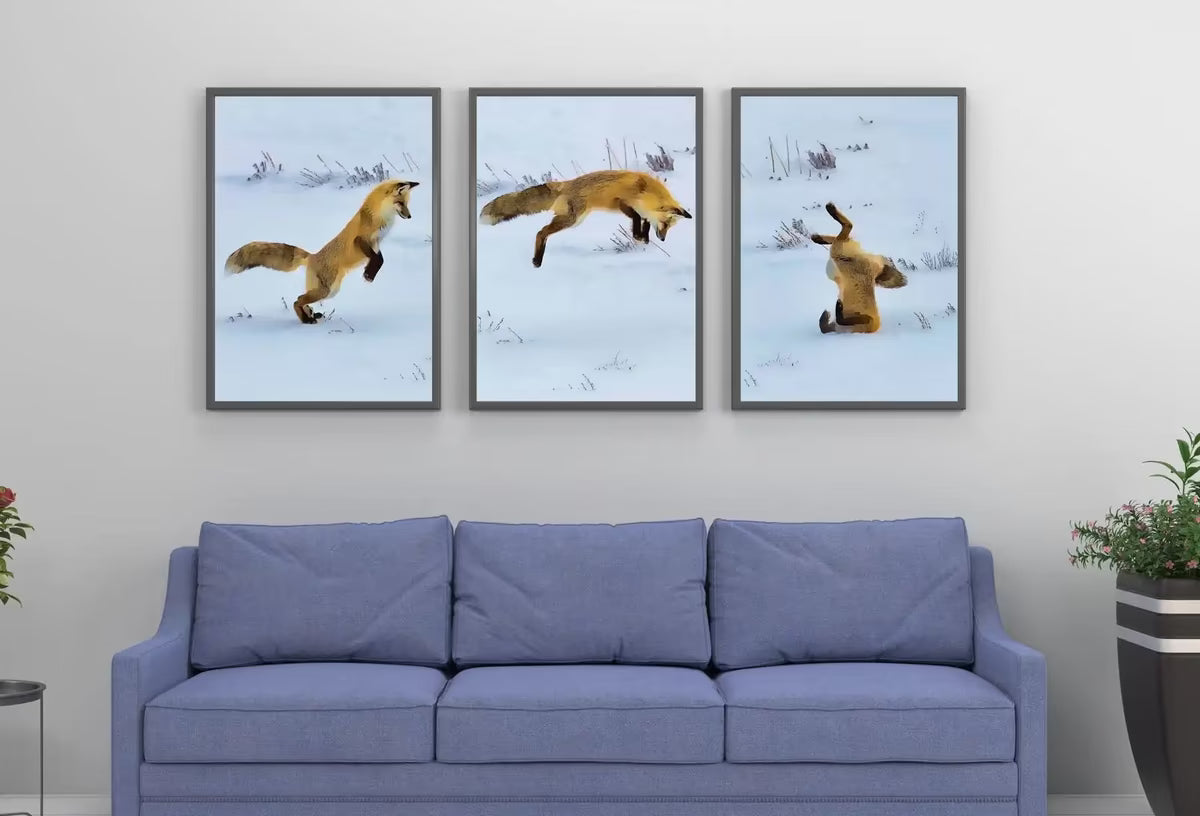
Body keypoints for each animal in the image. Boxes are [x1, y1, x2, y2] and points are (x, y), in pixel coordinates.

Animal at [224, 179, 420, 324]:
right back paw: (306, 319)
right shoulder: (361, 239)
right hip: (326, 290)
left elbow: (380, 259)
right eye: (400, 203)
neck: (380, 216)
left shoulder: (376, 243)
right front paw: (368, 274)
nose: (410, 216)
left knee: (302, 299)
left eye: (407, 204)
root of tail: (312, 256)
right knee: (297, 299)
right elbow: (377, 259)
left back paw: (310, 315)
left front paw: (369, 273)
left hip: (329, 290)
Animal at [479, 170, 692, 267]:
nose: (662, 239)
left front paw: (643, 237)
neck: (645, 191)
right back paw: (537, 260)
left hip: (573, 219)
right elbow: (635, 218)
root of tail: (566, 184)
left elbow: (644, 223)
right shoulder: (622, 202)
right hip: (572, 219)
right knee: (541, 232)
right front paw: (639, 236)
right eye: (666, 224)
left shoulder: (642, 211)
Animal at [811, 202, 907, 334]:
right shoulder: (869, 322)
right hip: (841, 251)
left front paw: (837, 310)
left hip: (839, 252)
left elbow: (830, 324)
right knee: (846, 230)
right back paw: (828, 216)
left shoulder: (867, 322)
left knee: (844, 232)